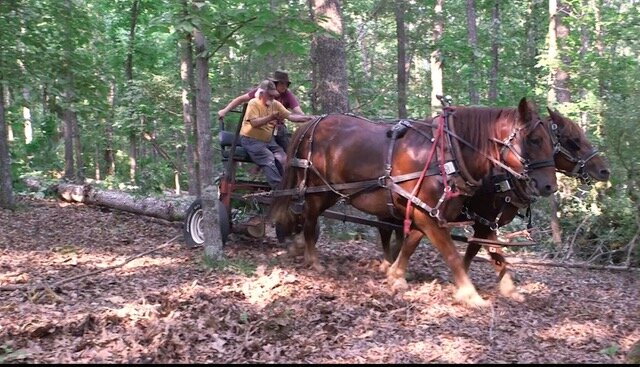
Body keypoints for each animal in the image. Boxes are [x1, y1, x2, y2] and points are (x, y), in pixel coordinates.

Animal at [272, 97, 556, 308]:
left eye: (552, 143)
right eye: (534, 140)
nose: (549, 186)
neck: (447, 154)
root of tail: (313, 123)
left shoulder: (426, 211)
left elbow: (411, 243)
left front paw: (395, 275)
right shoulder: (430, 215)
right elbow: (451, 254)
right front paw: (470, 294)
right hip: (317, 190)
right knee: (309, 219)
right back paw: (312, 259)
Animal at [378, 106, 612, 302]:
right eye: (573, 141)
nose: (605, 170)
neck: (503, 178)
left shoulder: (479, 221)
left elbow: (480, 250)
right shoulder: (481, 220)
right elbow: (475, 250)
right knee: (386, 231)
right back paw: (386, 263)